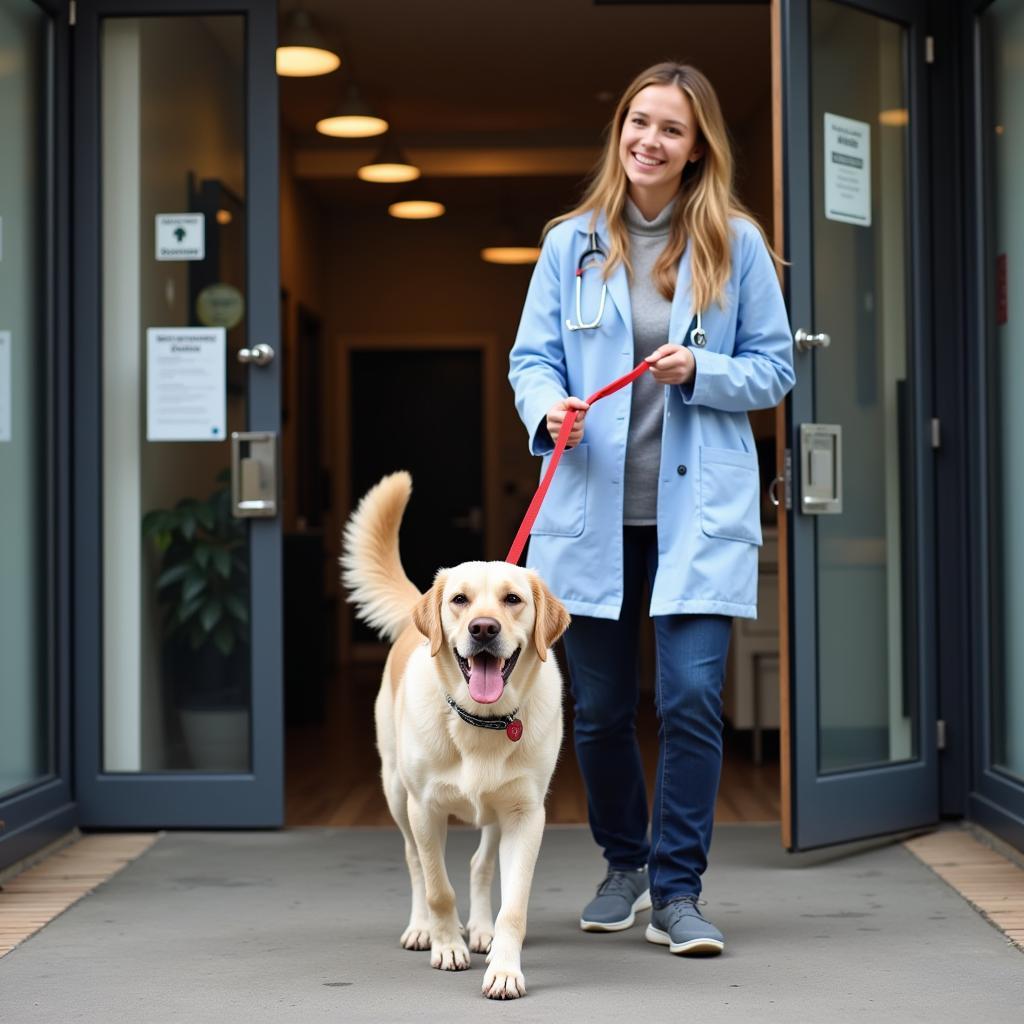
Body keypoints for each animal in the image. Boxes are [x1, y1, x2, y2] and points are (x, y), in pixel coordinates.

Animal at [342, 471, 569, 999]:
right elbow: (437, 886)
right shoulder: (424, 808)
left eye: (513, 600)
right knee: (414, 862)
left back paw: (481, 929)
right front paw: (447, 945)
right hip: (395, 791)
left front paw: (504, 967)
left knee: (480, 865)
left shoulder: (527, 816)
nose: (483, 628)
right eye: (460, 600)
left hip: (495, 813)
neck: (482, 721)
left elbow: (513, 906)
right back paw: (422, 928)